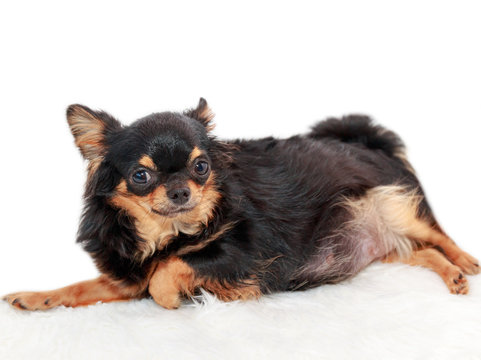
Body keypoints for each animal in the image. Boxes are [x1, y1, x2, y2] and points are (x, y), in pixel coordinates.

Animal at [2, 98, 476, 310]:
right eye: (141, 176)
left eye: (201, 167)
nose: (180, 191)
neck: (167, 233)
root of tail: (363, 140)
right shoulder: (126, 277)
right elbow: (85, 287)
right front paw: (36, 297)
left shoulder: (245, 254)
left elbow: (168, 272)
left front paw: (182, 298)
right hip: (379, 243)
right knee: (422, 254)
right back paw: (451, 276)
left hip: (395, 207)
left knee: (437, 235)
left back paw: (465, 264)